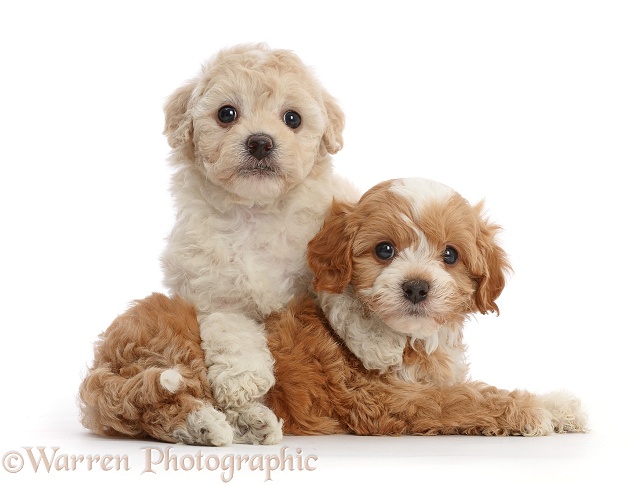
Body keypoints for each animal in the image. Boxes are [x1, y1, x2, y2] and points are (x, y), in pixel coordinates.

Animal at [262, 178, 588, 434]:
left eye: (450, 255)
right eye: (384, 250)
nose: (416, 287)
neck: (413, 337)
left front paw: (559, 407)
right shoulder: (384, 398)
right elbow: (458, 400)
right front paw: (527, 410)